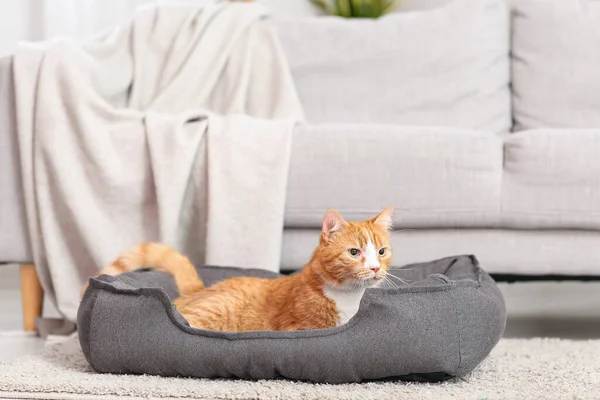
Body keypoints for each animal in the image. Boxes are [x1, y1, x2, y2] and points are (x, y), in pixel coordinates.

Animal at [85, 206, 394, 332]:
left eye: (381, 252)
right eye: (354, 253)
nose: (375, 268)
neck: (349, 297)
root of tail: (200, 290)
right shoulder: (298, 328)